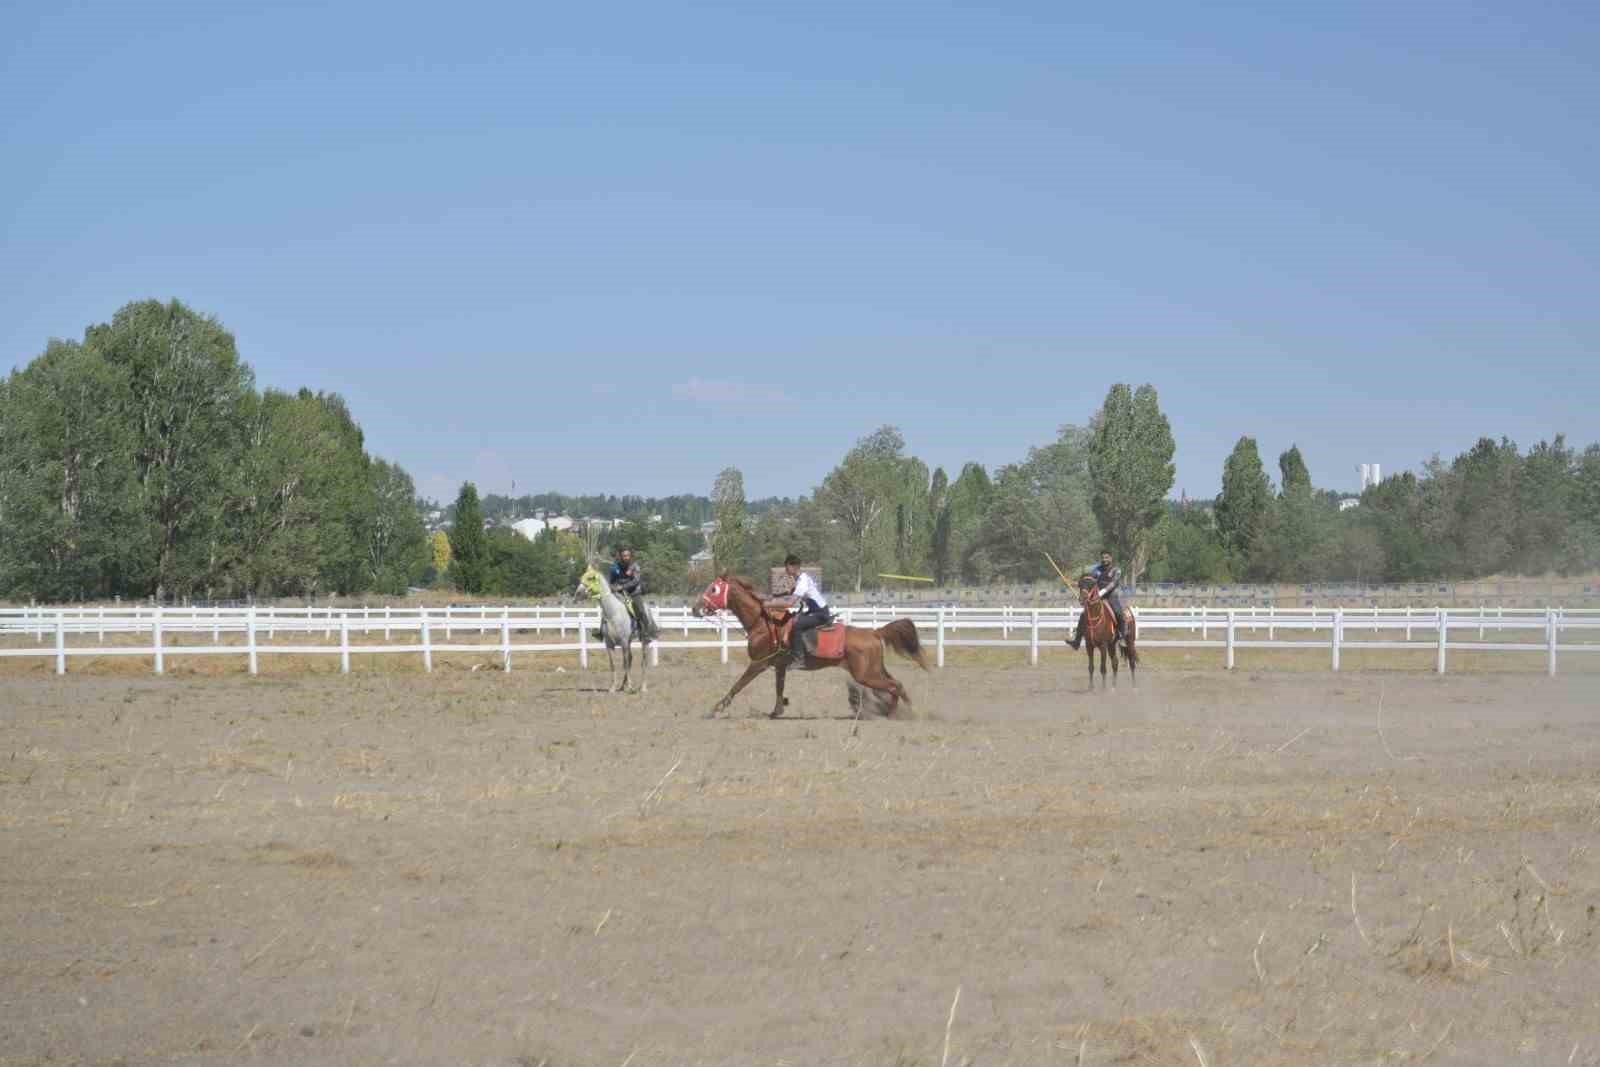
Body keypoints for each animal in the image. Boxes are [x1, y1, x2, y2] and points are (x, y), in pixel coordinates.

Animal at [576, 563, 656, 697]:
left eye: (591, 578)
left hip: (643, 641)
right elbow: (613, 665)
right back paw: (623, 686)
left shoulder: (623, 642)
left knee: (643, 661)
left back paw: (642, 687)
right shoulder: (609, 644)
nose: (577, 593)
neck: (613, 613)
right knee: (630, 659)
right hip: (629, 642)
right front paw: (613, 687)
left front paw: (630, 687)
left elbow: (625, 664)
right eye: (582, 576)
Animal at [688, 575, 928, 716]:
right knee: (894, 685)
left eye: (713, 590)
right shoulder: (779, 666)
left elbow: (738, 685)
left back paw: (897, 713)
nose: (695, 608)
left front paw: (717, 707)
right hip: (874, 670)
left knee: (895, 686)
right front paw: (777, 711)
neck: (763, 624)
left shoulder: (758, 663)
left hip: (865, 674)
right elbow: (779, 688)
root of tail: (874, 632)